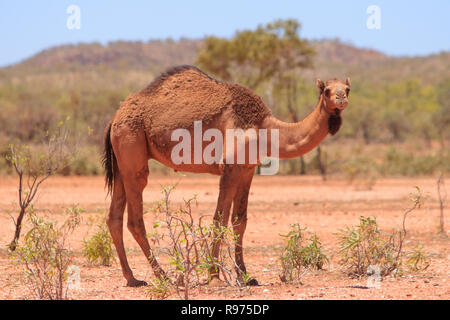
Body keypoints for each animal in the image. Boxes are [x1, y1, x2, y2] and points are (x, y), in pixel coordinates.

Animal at [103, 63, 350, 286]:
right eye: (327, 90)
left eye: (347, 89)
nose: (341, 99)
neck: (264, 128)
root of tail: (114, 117)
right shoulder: (230, 168)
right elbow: (219, 219)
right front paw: (214, 276)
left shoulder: (247, 169)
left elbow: (240, 221)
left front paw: (245, 276)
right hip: (132, 148)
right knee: (135, 218)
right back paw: (164, 277)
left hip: (122, 163)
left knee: (114, 218)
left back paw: (132, 278)